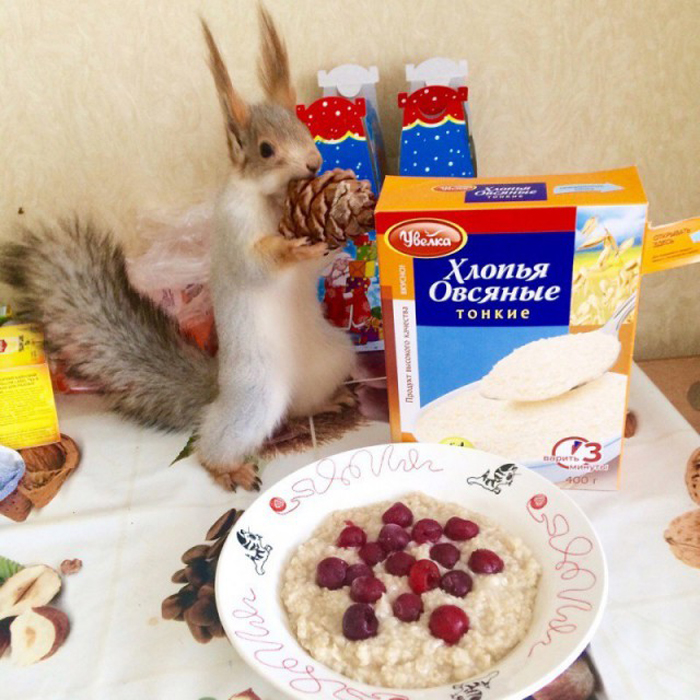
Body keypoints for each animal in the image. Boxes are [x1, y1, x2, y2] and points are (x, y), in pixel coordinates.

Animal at [0, 8, 356, 491]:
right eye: (266, 149)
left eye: (304, 127)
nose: (315, 164)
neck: (274, 199)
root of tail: (220, 388)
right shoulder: (233, 227)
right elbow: (255, 265)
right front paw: (289, 248)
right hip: (255, 398)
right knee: (214, 440)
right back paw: (228, 466)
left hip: (333, 357)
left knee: (301, 406)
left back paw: (326, 403)